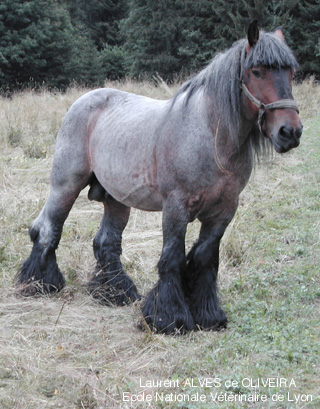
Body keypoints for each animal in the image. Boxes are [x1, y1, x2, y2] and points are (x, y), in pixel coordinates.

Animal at [17, 22, 302, 334]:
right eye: (257, 71)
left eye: (291, 72)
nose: (290, 132)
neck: (210, 136)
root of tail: (83, 100)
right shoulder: (176, 206)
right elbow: (173, 257)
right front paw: (168, 317)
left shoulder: (223, 211)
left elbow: (204, 258)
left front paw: (208, 315)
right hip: (66, 185)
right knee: (47, 229)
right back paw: (39, 284)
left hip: (116, 199)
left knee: (106, 242)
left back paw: (114, 293)